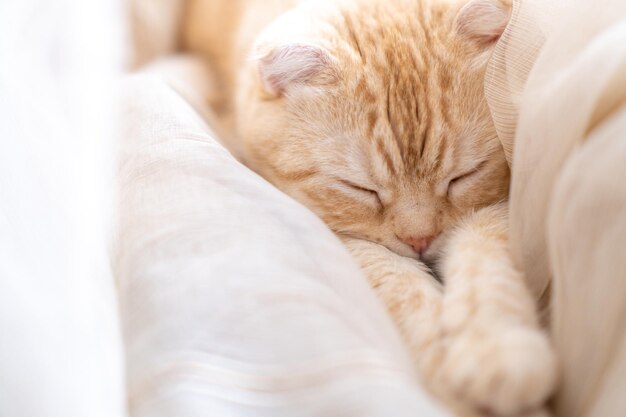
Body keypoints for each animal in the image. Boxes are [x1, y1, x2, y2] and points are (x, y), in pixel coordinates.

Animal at [183, 1, 552, 414]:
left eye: (463, 175)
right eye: (362, 189)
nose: (420, 240)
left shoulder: (499, 198)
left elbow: (486, 259)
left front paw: (497, 347)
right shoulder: (333, 227)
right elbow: (400, 282)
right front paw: (453, 379)